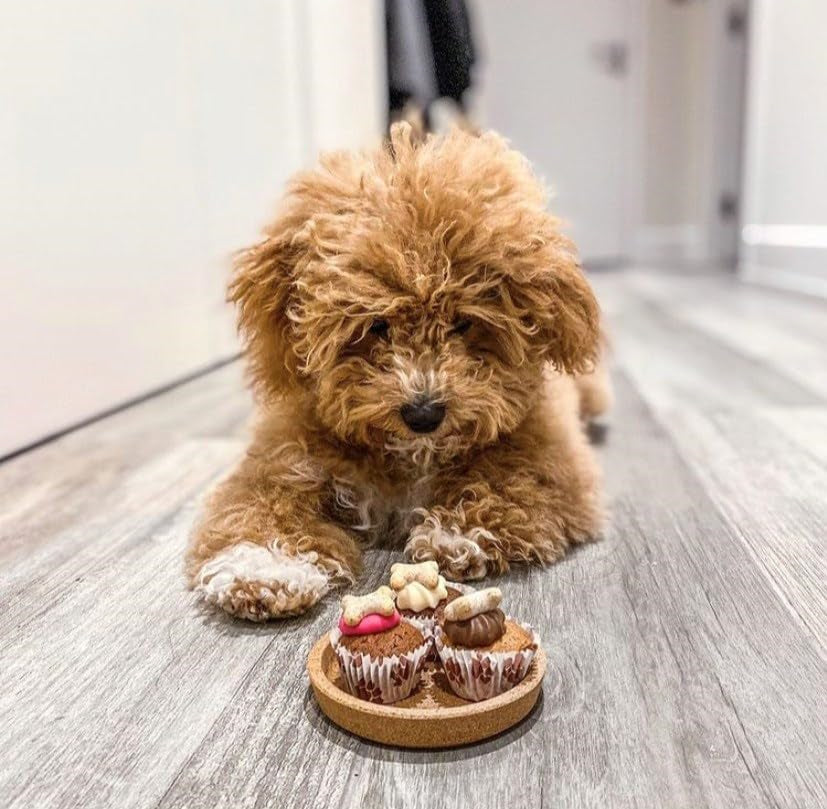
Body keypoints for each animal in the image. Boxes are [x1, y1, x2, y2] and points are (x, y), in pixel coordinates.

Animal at [189, 124, 616, 620]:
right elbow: (258, 507)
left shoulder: (553, 457)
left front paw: (456, 534)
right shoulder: (281, 460)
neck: (412, 456)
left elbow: (515, 482)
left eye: (463, 322)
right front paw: (265, 568)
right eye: (377, 325)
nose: (423, 414)